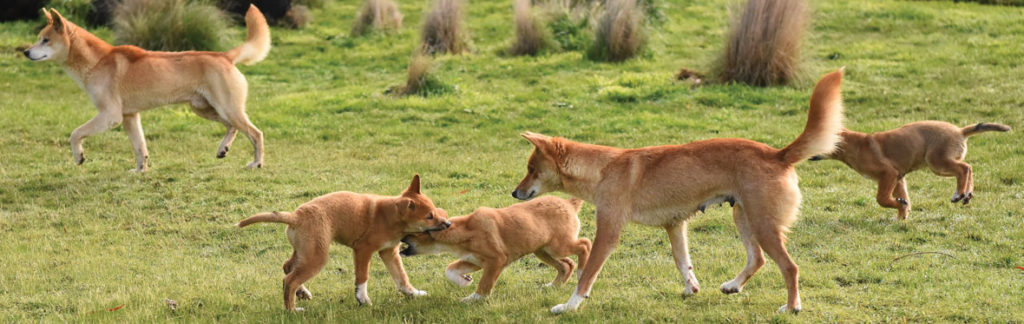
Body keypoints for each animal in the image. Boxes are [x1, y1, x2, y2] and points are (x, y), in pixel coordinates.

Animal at [24, 6, 272, 171]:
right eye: (38, 38)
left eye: (45, 40)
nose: (26, 52)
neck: (97, 62)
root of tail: (224, 55)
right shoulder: (130, 116)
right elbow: (139, 147)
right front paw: (140, 171)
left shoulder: (110, 116)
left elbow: (75, 133)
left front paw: (79, 156)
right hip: (205, 109)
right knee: (233, 127)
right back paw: (223, 149)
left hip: (226, 108)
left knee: (256, 133)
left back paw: (257, 162)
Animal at [239, 174, 452, 311]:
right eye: (429, 216)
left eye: (434, 211)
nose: (448, 224)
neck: (390, 216)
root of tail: (295, 216)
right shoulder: (363, 250)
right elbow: (362, 277)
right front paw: (363, 300)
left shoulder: (389, 252)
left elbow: (401, 278)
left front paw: (413, 294)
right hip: (317, 257)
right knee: (289, 280)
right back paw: (292, 310)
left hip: (305, 251)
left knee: (287, 268)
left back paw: (302, 293)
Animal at [399, 195, 593, 303]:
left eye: (411, 231)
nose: (399, 237)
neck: (466, 231)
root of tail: (568, 203)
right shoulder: (475, 261)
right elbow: (450, 269)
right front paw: (464, 280)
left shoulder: (495, 261)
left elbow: (485, 284)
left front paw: (473, 299)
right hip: (543, 250)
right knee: (567, 265)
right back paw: (553, 286)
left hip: (558, 246)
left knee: (585, 244)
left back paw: (582, 272)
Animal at [512, 69, 847, 313]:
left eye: (531, 169)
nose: (515, 194)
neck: (602, 169)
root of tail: (779, 154)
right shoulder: (675, 226)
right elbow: (682, 261)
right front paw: (690, 288)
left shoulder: (608, 232)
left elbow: (588, 272)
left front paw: (569, 305)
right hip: (743, 217)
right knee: (758, 259)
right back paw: (732, 286)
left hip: (763, 224)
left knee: (790, 267)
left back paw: (791, 307)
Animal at [811, 121, 1011, 220]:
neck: (854, 145)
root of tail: (960, 131)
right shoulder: (898, 177)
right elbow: (902, 198)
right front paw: (902, 214)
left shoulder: (888, 174)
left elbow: (881, 199)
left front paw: (899, 209)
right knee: (969, 168)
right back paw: (967, 194)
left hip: (937, 163)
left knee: (964, 168)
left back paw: (959, 193)